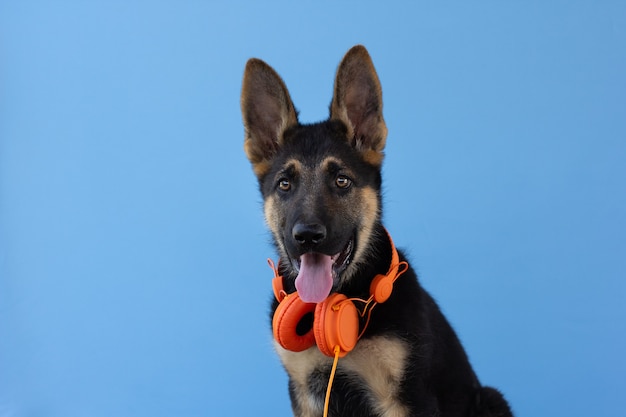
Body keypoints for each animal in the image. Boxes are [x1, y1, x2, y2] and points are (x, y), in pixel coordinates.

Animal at [240, 44, 512, 416]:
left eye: (342, 181)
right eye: (285, 184)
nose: (307, 236)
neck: (340, 300)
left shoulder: (407, 399)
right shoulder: (304, 393)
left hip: (490, 399)